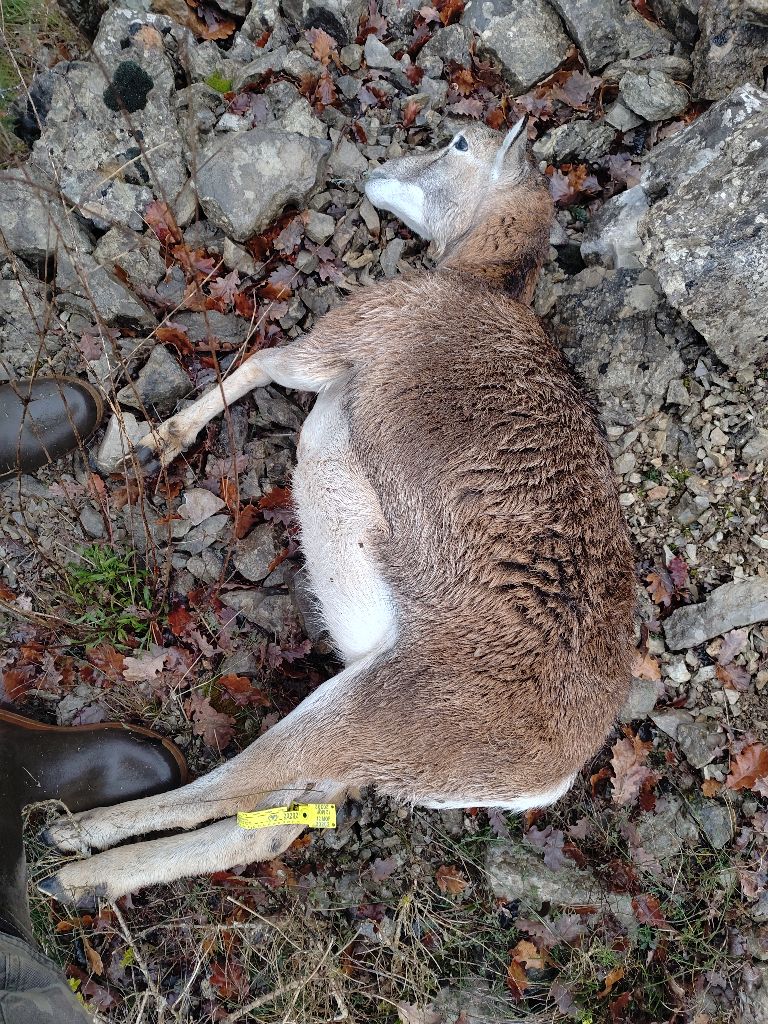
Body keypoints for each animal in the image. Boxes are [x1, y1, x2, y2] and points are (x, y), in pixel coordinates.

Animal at [39, 121, 634, 905]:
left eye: (460, 143)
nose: (377, 173)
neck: (478, 279)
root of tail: (551, 772)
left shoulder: (335, 346)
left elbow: (261, 362)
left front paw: (142, 445)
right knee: (265, 826)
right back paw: (82, 879)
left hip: (351, 716)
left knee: (234, 789)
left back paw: (72, 844)